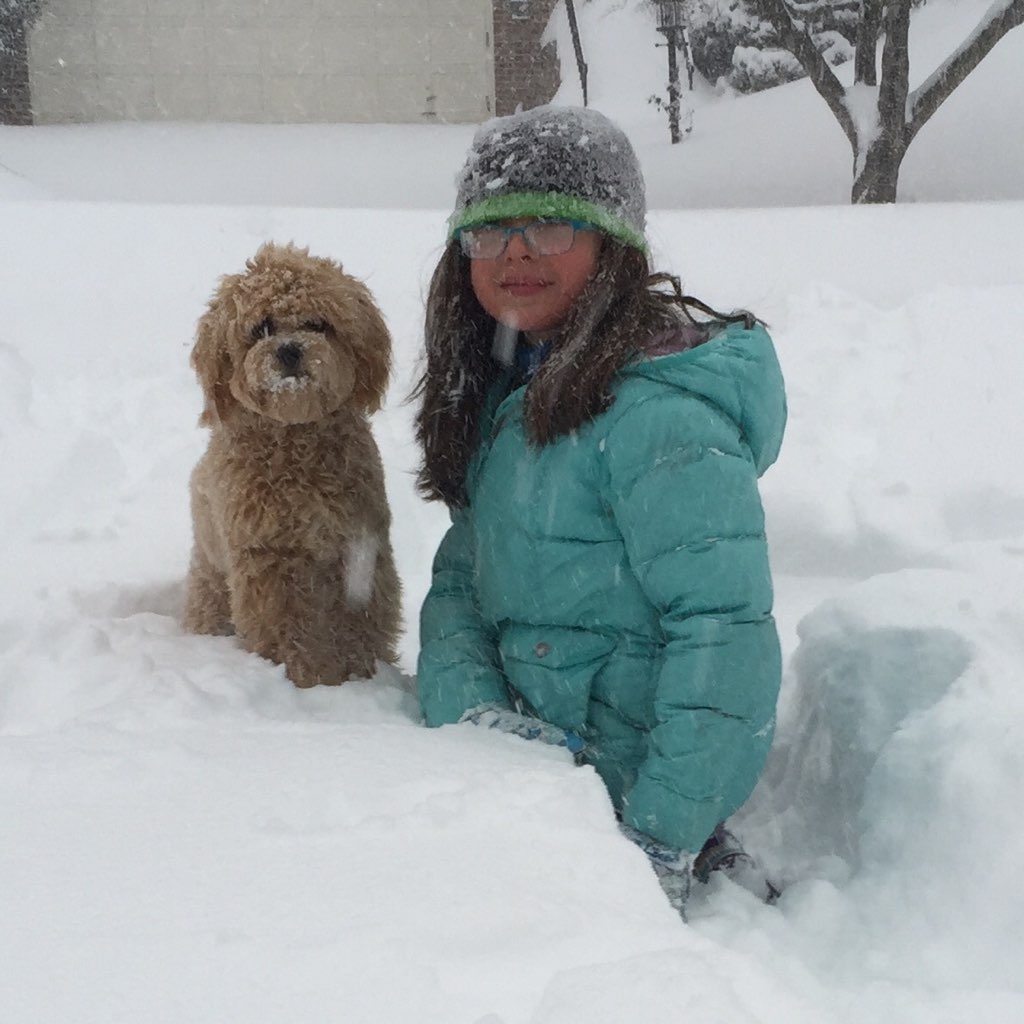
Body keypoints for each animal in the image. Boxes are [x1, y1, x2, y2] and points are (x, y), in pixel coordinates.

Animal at [184, 240, 399, 688]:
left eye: (318, 323)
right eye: (261, 328)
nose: (288, 350)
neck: (297, 444)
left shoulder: (359, 545)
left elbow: (363, 618)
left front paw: (362, 671)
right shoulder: (268, 556)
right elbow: (286, 626)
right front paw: (310, 677)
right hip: (211, 580)